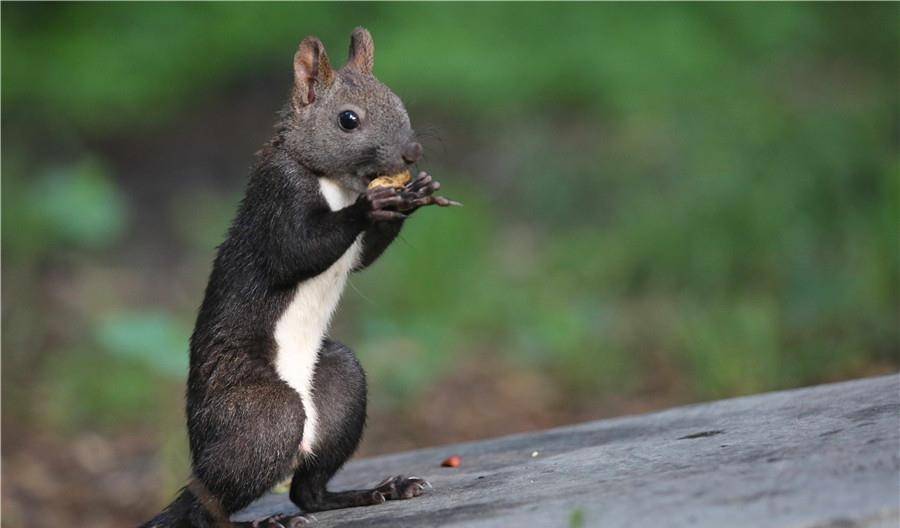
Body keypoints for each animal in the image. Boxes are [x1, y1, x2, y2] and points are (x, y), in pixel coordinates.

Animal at [144, 28, 460, 528]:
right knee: (204, 508)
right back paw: (259, 519)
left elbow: (363, 256)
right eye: (348, 119)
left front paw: (413, 192)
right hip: (262, 415)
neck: (334, 182)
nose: (413, 152)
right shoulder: (278, 198)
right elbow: (296, 251)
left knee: (307, 492)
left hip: (340, 384)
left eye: (398, 100)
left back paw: (375, 491)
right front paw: (372, 205)